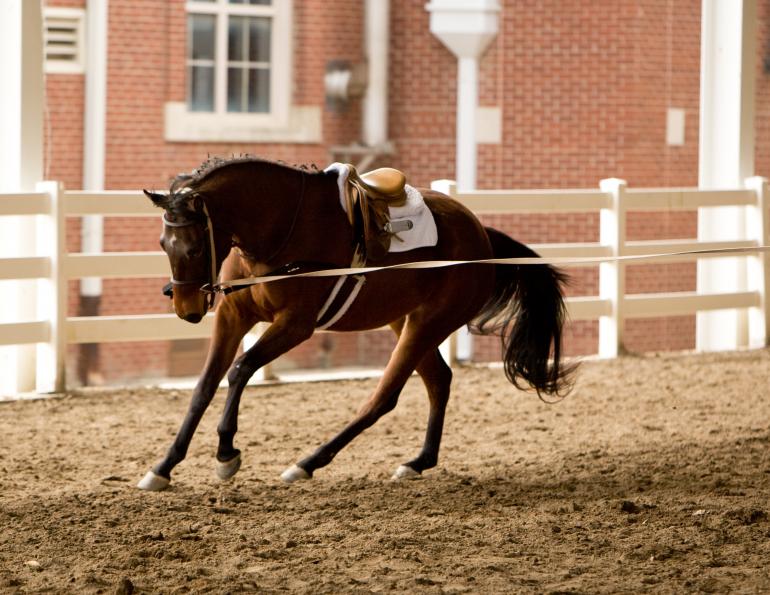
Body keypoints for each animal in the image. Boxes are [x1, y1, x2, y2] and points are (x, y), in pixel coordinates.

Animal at [138, 156, 574, 491]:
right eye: (163, 243)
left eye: (195, 247)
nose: (187, 308)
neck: (280, 229)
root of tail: (482, 235)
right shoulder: (234, 316)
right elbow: (204, 387)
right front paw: (164, 467)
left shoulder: (296, 325)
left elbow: (241, 369)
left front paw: (226, 453)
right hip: (405, 321)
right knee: (438, 380)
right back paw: (418, 461)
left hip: (427, 324)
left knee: (383, 398)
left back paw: (308, 463)